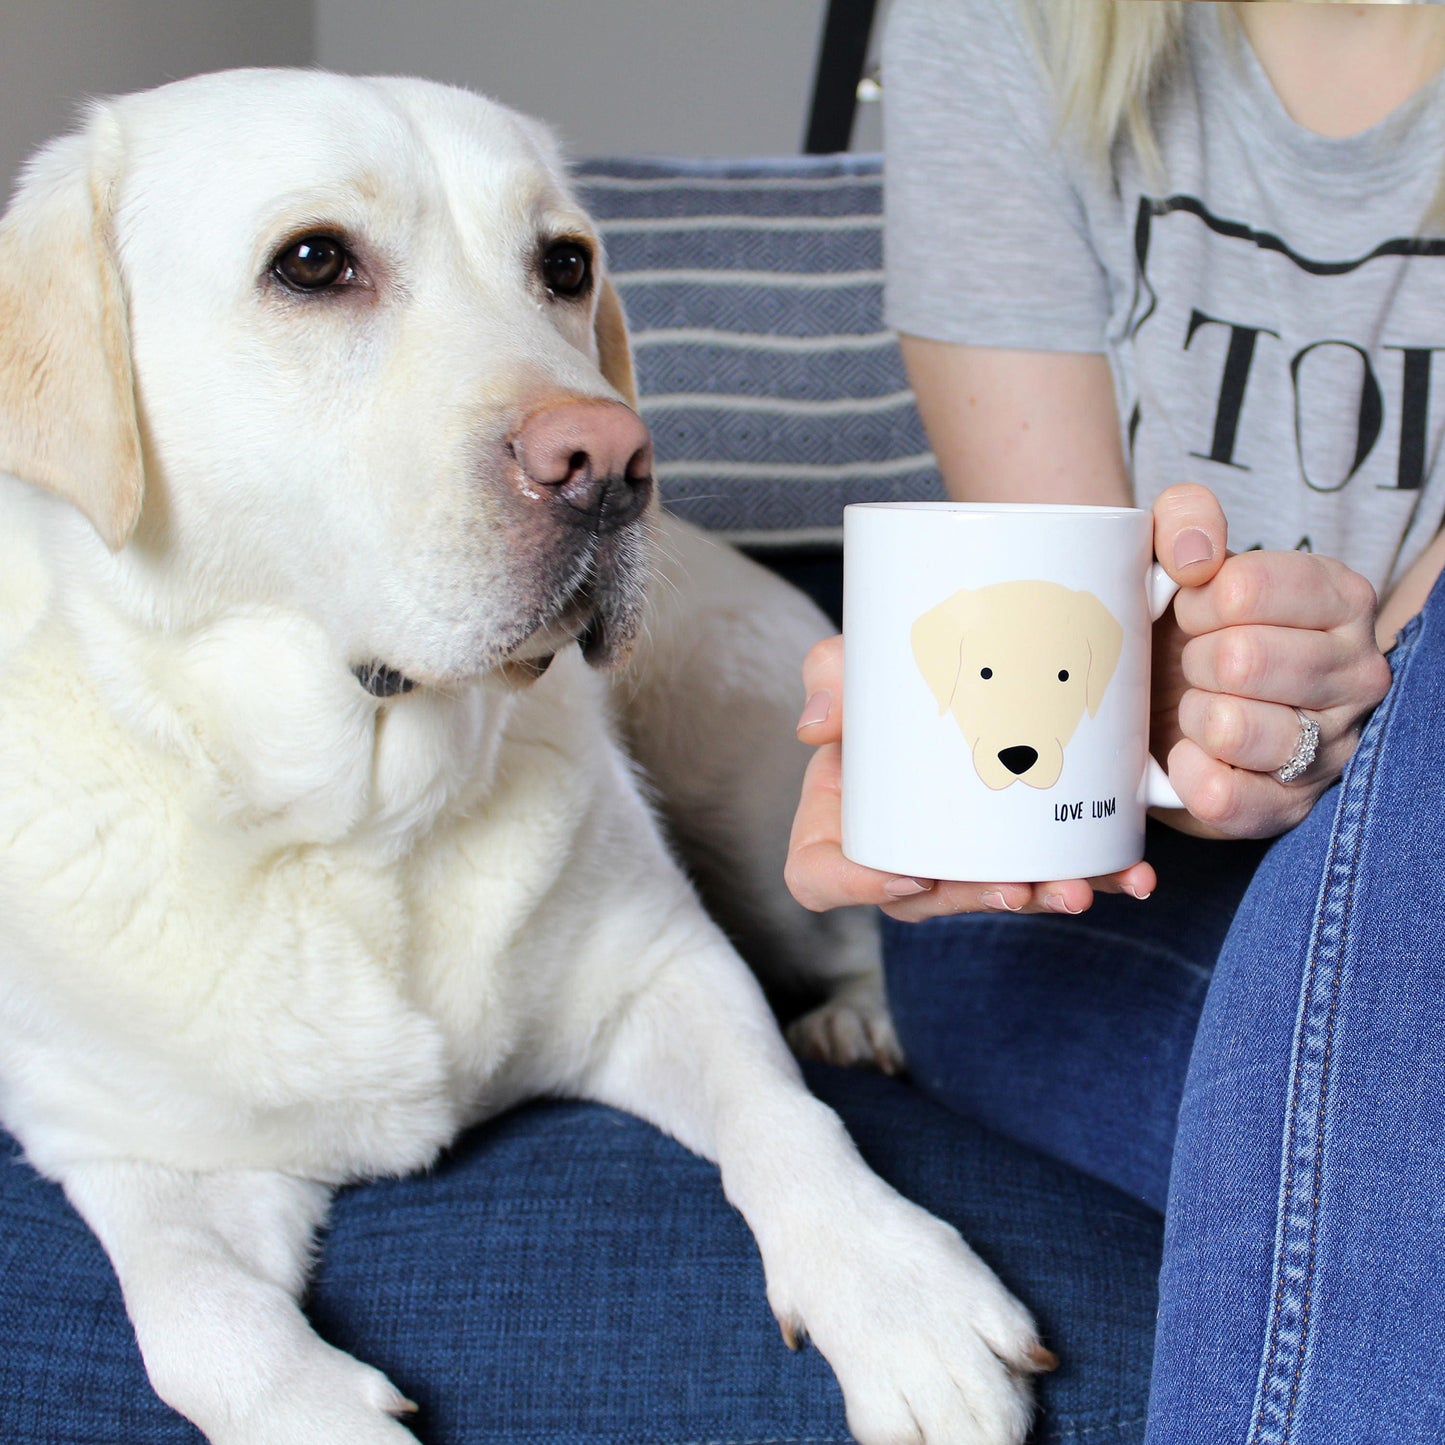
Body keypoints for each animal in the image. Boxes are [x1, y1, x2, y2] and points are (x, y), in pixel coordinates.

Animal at [0, 70, 1051, 1445]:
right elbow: (194, 1316)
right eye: (312, 262)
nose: (608, 463)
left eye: (562, 263)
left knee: (859, 924)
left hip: (743, 798)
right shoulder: (130, 1152)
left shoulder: (671, 970)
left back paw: (858, 1014)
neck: (355, 821)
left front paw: (896, 1292)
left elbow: (786, 1118)